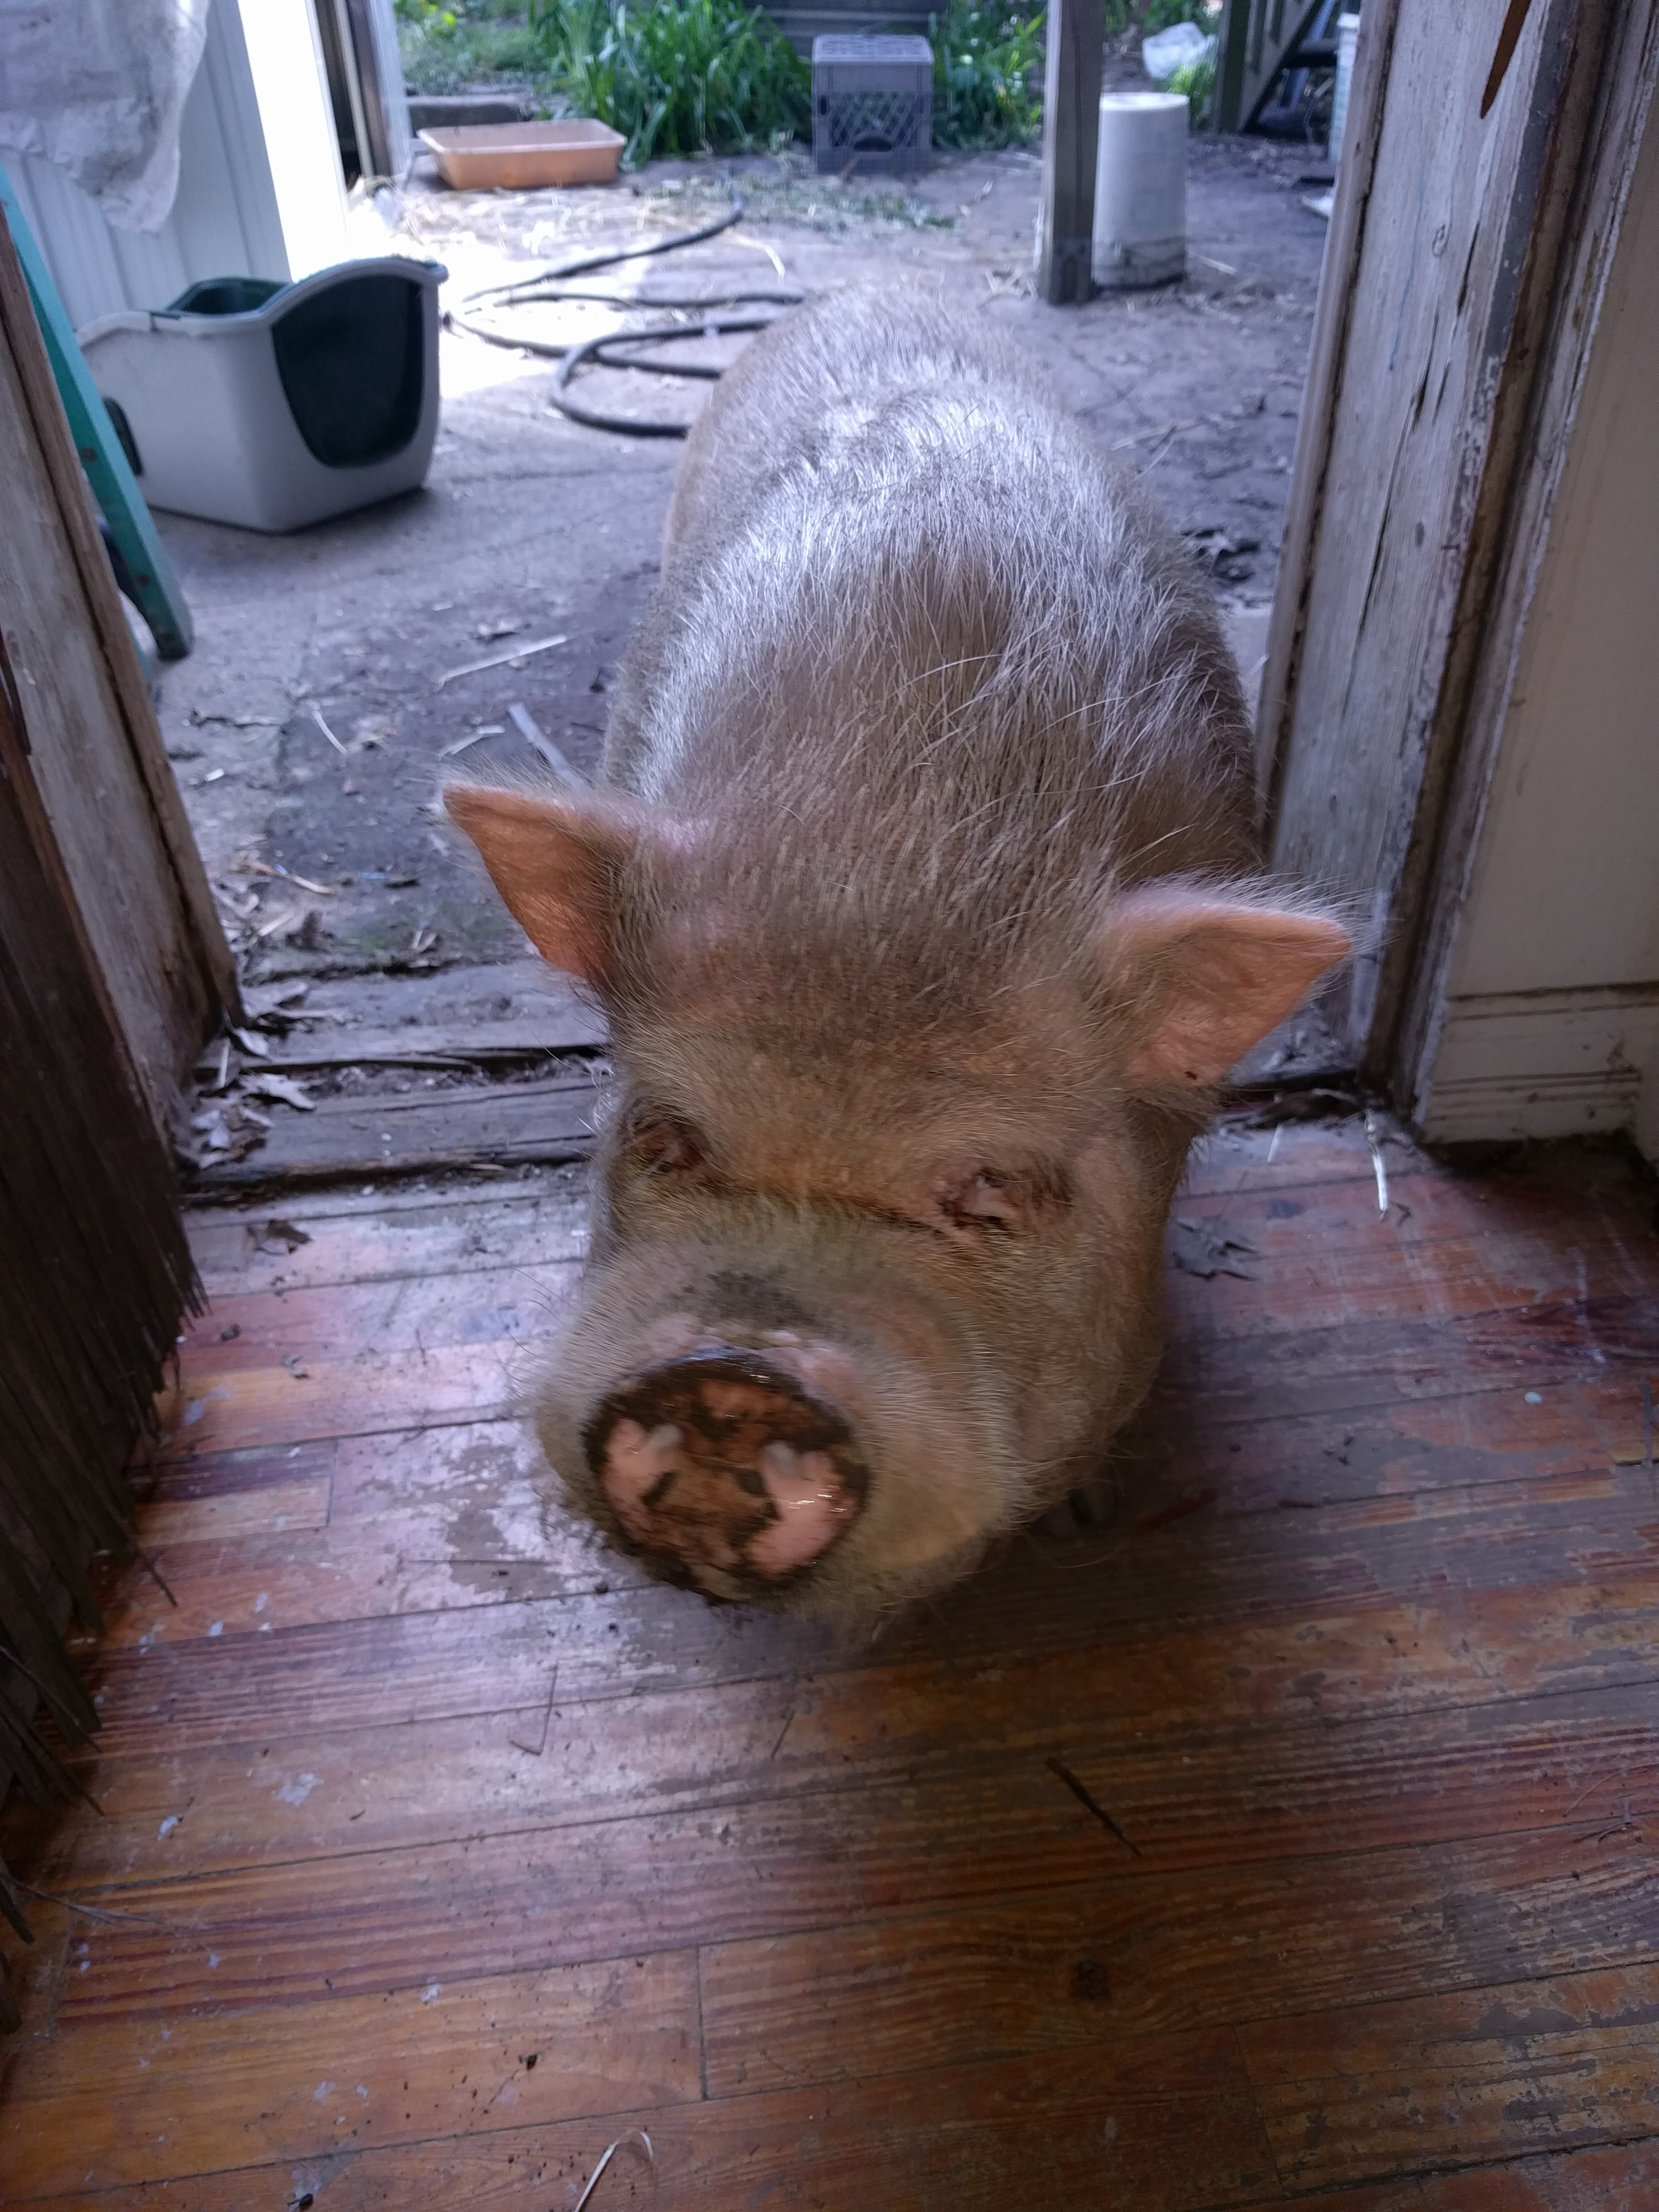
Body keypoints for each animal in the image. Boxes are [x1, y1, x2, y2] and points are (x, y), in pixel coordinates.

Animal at [446, 289, 1348, 1617]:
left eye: (990, 1188)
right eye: (663, 1134)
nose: (731, 1376)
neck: (903, 854)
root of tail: (867, 285)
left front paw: (1085, 1516)